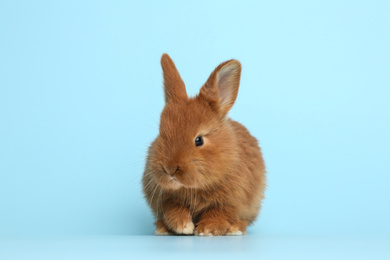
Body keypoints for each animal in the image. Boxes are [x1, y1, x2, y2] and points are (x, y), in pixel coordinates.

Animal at [142, 53, 266, 236]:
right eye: (161, 133)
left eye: (198, 140)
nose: (169, 169)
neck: (194, 187)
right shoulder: (164, 198)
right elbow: (173, 209)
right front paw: (184, 226)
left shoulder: (231, 201)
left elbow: (218, 212)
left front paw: (207, 230)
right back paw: (162, 229)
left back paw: (235, 230)